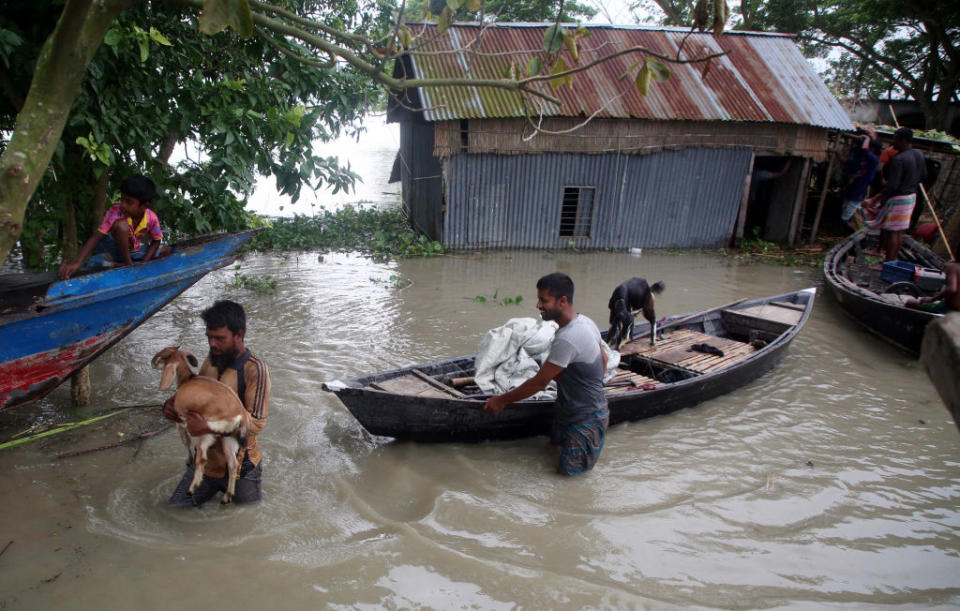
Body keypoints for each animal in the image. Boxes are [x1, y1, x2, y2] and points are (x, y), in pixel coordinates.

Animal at [151, 346, 251, 504]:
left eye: (165, 355)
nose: (152, 362)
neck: (187, 380)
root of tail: (240, 414)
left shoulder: (181, 421)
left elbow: (185, 441)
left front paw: (188, 460)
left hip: (205, 432)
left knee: (202, 459)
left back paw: (193, 487)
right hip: (228, 439)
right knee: (232, 464)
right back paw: (227, 496)